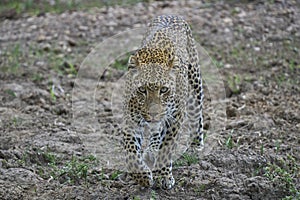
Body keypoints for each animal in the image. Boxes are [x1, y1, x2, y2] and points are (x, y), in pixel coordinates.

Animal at [121, 14, 204, 190]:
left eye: (164, 90)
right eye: (142, 90)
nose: (153, 114)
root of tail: (171, 14)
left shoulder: (175, 117)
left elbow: (167, 146)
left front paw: (164, 176)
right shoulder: (130, 118)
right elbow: (131, 150)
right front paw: (142, 176)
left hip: (195, 81)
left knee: (197, 112)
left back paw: (196, 146)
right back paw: (152, 149)